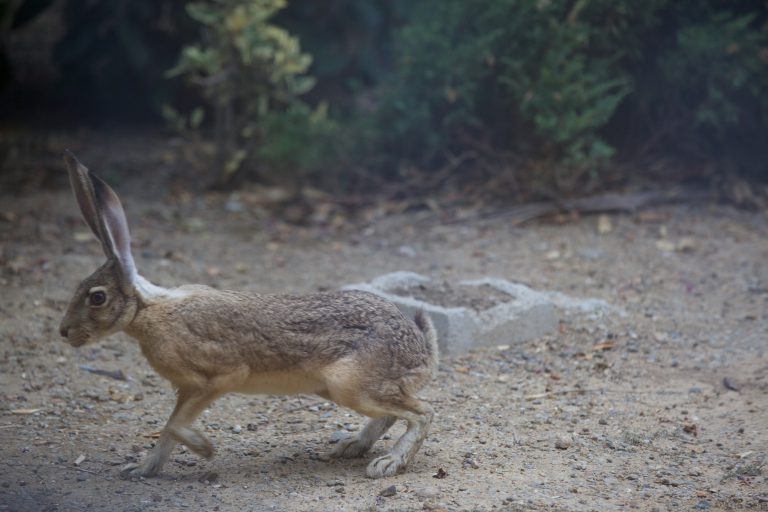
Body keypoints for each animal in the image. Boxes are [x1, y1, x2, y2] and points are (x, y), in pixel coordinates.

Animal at [58, 151, 438, 479]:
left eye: (97, 297)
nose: (64, 332)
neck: (148, 310)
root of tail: (421, 352)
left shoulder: (218, 376)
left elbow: (175, 425)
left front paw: (205, 449)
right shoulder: (186, 389)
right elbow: (168, 430)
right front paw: (142, 470)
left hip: (350, 385)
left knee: (423, 412)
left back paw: (389, 463)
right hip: (332, 388)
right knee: (393, 415)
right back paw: (352, 446)